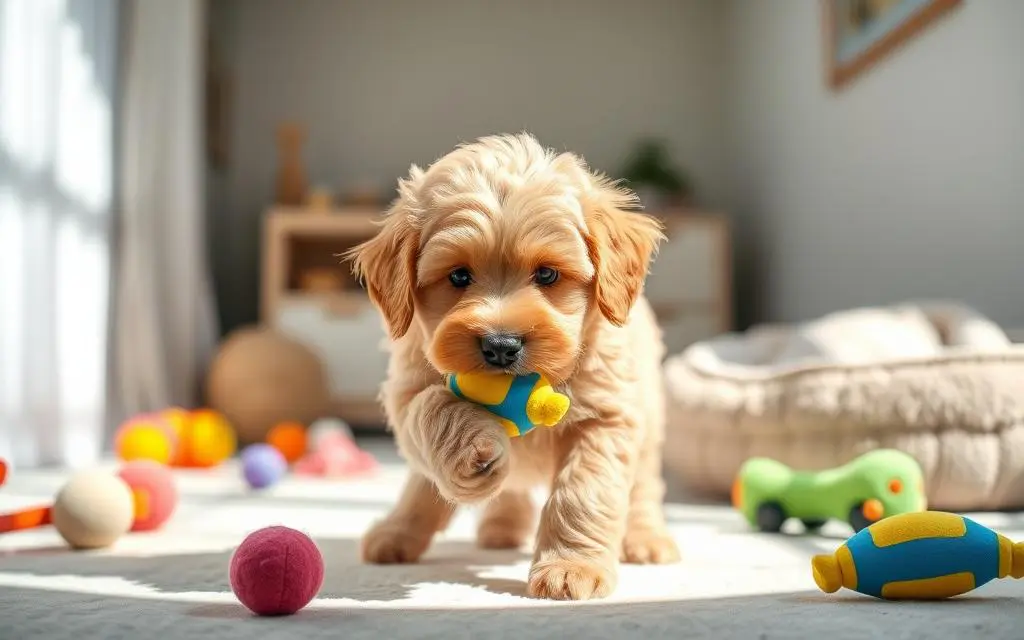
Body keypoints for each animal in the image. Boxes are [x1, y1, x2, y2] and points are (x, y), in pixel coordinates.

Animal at [346, 131, 679, 598]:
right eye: (459, 276)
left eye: (547, 275)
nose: (501, 346)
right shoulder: (406, 390)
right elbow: (432, 408)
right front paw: (472, 450)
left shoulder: (608, 417)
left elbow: (584, 491)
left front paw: (571, 567)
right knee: (438, 485)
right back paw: (422, 531)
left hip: (649, 421)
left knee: (646, 487)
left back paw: (647, 538)